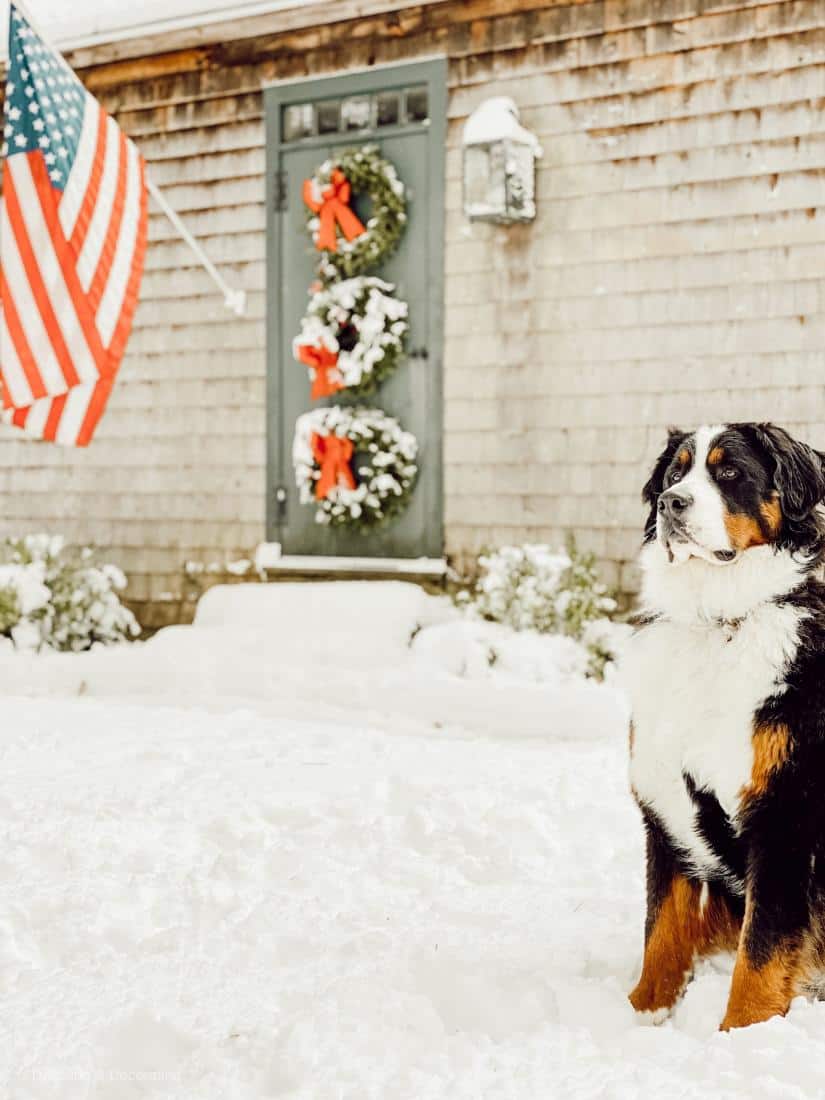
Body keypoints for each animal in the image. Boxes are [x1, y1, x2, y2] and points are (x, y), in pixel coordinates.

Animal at [624, 420, 825, 1029]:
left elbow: (761, 950)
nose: (671, 503)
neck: (717, 621)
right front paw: (643, 1016)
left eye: (730, 471)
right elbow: (662, 930)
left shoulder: (785, 811)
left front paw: (740, 1032)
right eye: (675, 473)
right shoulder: (664, 805)